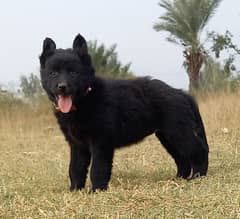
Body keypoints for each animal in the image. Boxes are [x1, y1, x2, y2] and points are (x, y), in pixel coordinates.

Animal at [39, 33, 208, 192]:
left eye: (74, 73)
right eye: (53, 73)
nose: (62, 87)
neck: (86, 98)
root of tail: (181, 93)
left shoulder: (101, 143)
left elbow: (97, 169)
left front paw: (97, 190)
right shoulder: (77, 145)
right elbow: (75, 168)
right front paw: (75, 190)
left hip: (179, 133)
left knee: (198, 151)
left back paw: (198, 177)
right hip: (167, 137)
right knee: (182, 158)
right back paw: (179, 179)